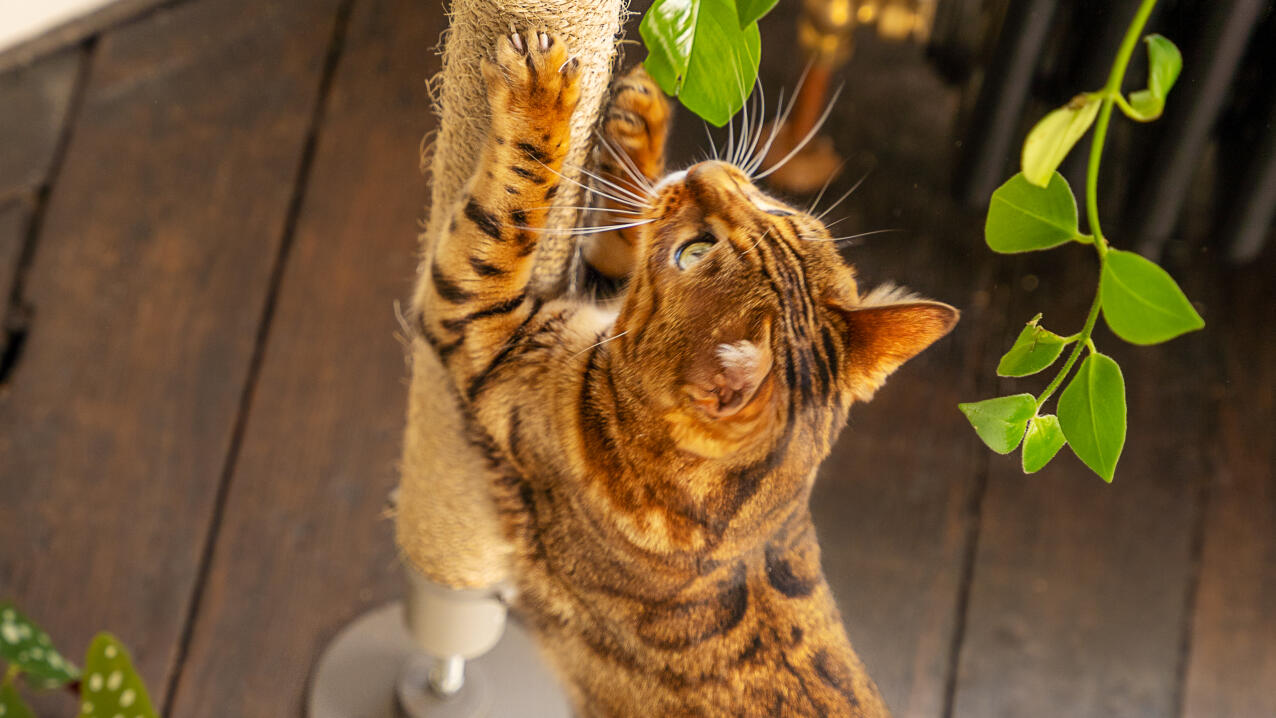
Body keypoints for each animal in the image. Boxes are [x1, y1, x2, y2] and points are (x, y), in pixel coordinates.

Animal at [415, 29, 959, 718]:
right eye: (780, 213)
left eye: (694, 253)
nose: (704, 170)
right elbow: (622, 231)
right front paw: (643, 114)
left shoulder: (487, 328)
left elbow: (511, 212)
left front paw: (542, 97)